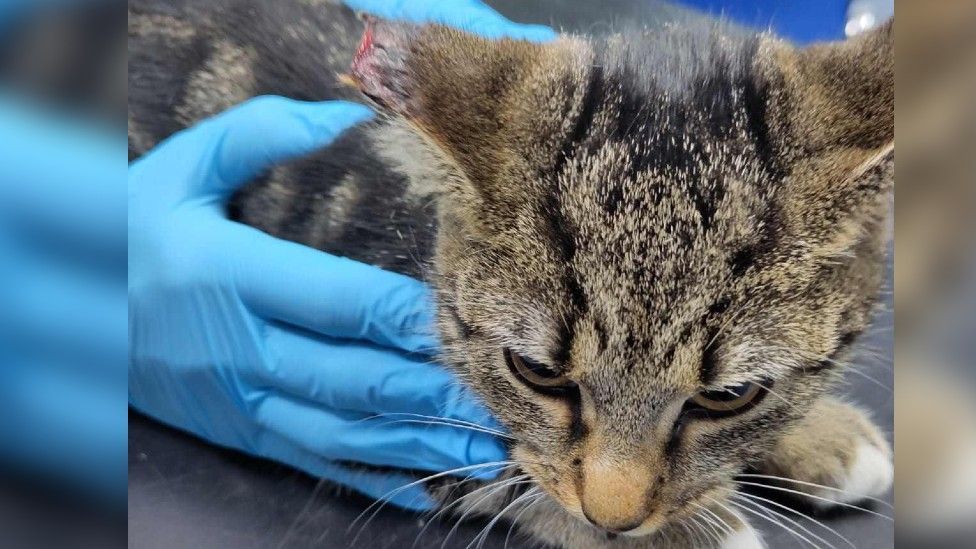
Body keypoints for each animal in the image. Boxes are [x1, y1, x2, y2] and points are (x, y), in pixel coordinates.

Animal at [127, 2, 892, 544]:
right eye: (537, 373)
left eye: (731, 396)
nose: (616, 517)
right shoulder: (357, 419)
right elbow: (509, 474)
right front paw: (704, 533)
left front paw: (819, 432)